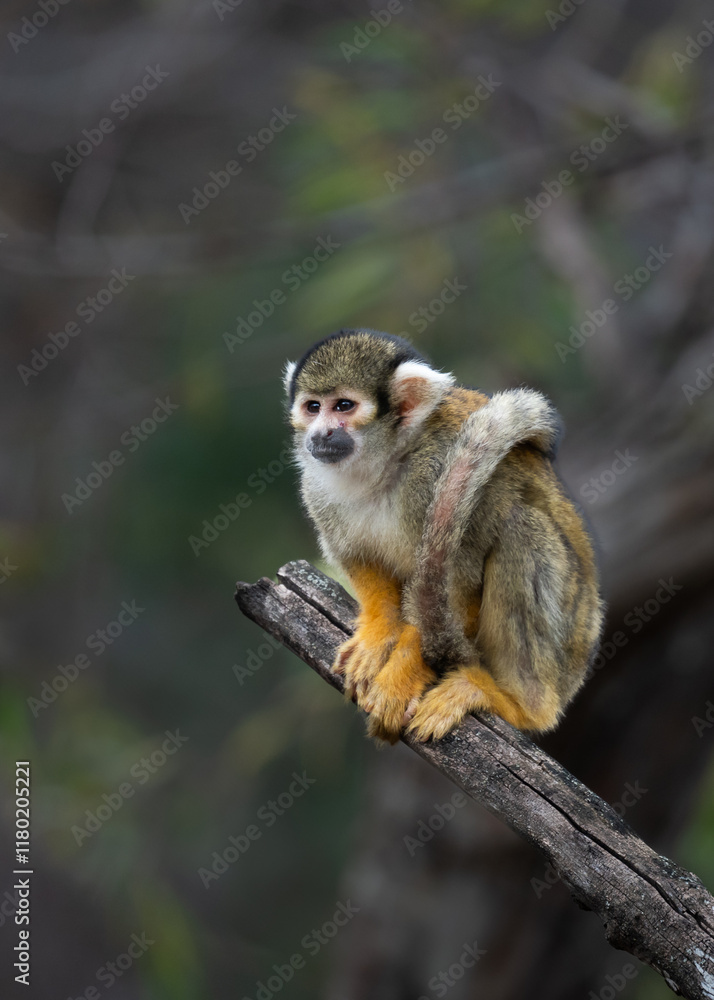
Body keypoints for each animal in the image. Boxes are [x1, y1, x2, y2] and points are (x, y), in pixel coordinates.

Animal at [284, 329, 603, 743]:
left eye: (343, 406)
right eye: (312, 407)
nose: (320, 433)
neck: (387, 462)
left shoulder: (436, 470)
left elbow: (459, 586)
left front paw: (400, 678)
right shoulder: (316, 489)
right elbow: (359, 559)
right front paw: (377, 634)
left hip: (570, 636)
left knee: (520, 529)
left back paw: (521, 706)